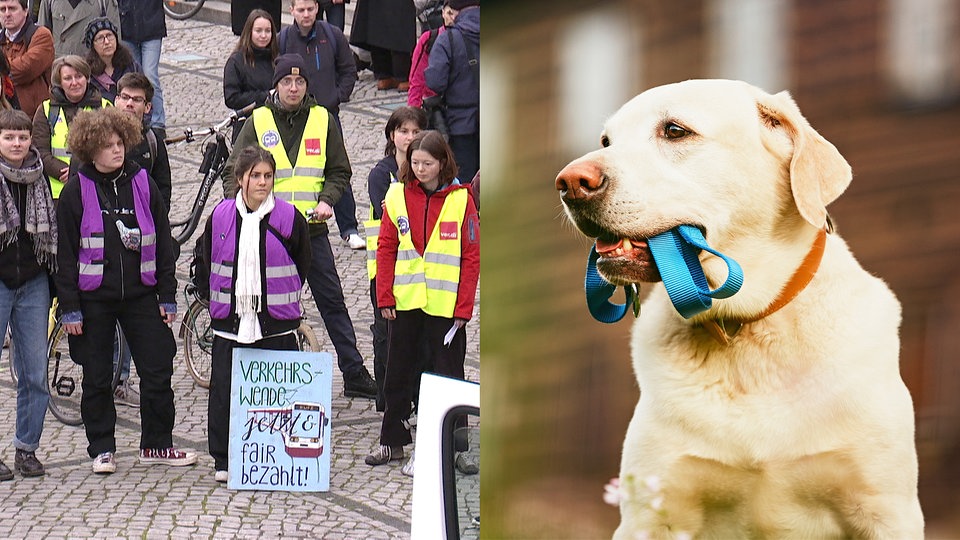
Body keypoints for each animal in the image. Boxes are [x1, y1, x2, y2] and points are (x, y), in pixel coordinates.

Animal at [556, 80, 924, 540]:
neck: (743, 330)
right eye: (606, 141)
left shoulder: (886, 510)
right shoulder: (651, 514)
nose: (569, 182)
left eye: (675, 131)